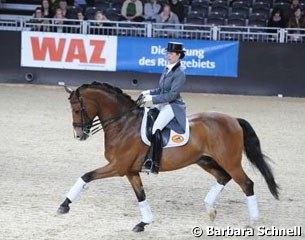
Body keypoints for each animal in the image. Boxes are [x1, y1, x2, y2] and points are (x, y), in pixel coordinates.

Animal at [57, 81, 278, 232]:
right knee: (224, 177)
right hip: (205, 160)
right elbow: (141, 195)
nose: (79, 135)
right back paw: (210, 209)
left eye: (76, 109)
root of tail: (233, 119)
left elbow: (86, 176)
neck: (124, 123)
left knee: (246, 184)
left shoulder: (118, 167)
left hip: (230, 161)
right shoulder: (130, 171)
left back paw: (253, 221)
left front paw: (64, 205)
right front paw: (144, 223)